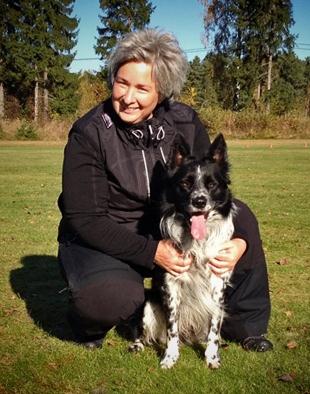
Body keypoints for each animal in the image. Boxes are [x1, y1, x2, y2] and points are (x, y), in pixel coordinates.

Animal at [130, 134, 236, 368]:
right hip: (149, 304)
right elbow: (172, 329)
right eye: (186, 183)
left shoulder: (217, 285)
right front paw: (170, 357)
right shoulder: (171, 284)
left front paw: (212, 357)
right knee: (145, 333)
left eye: (212, 184)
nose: (199, 201)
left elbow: (214, 327)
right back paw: (137, 345)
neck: (196, 241)